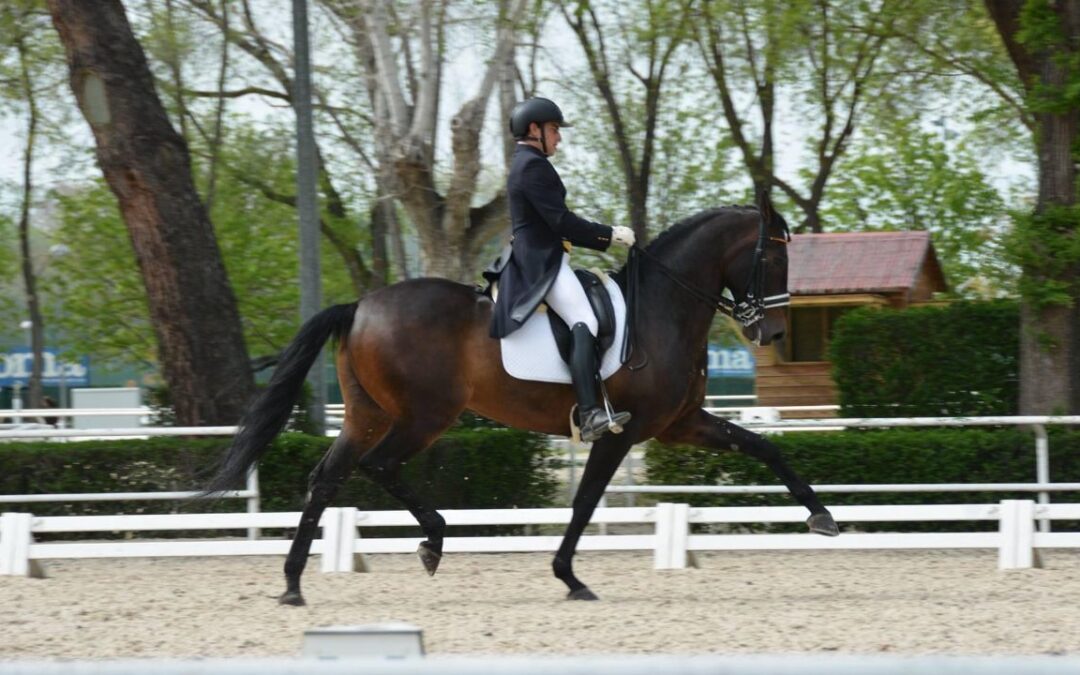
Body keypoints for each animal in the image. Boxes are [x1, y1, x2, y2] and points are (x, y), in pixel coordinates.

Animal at [206, 191, 838, 604]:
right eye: (773, 257)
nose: (771, 334)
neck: (663, 307)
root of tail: (360, 305)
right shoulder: (624, 430)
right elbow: (585, 501)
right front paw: (569, 577)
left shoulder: (678, 423)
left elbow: (763, 447)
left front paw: (823, 516)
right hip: (425, 415)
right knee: (379, 465)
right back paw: (433, 541)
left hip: (368, 414)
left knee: (327, 478)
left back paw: (292, 584)